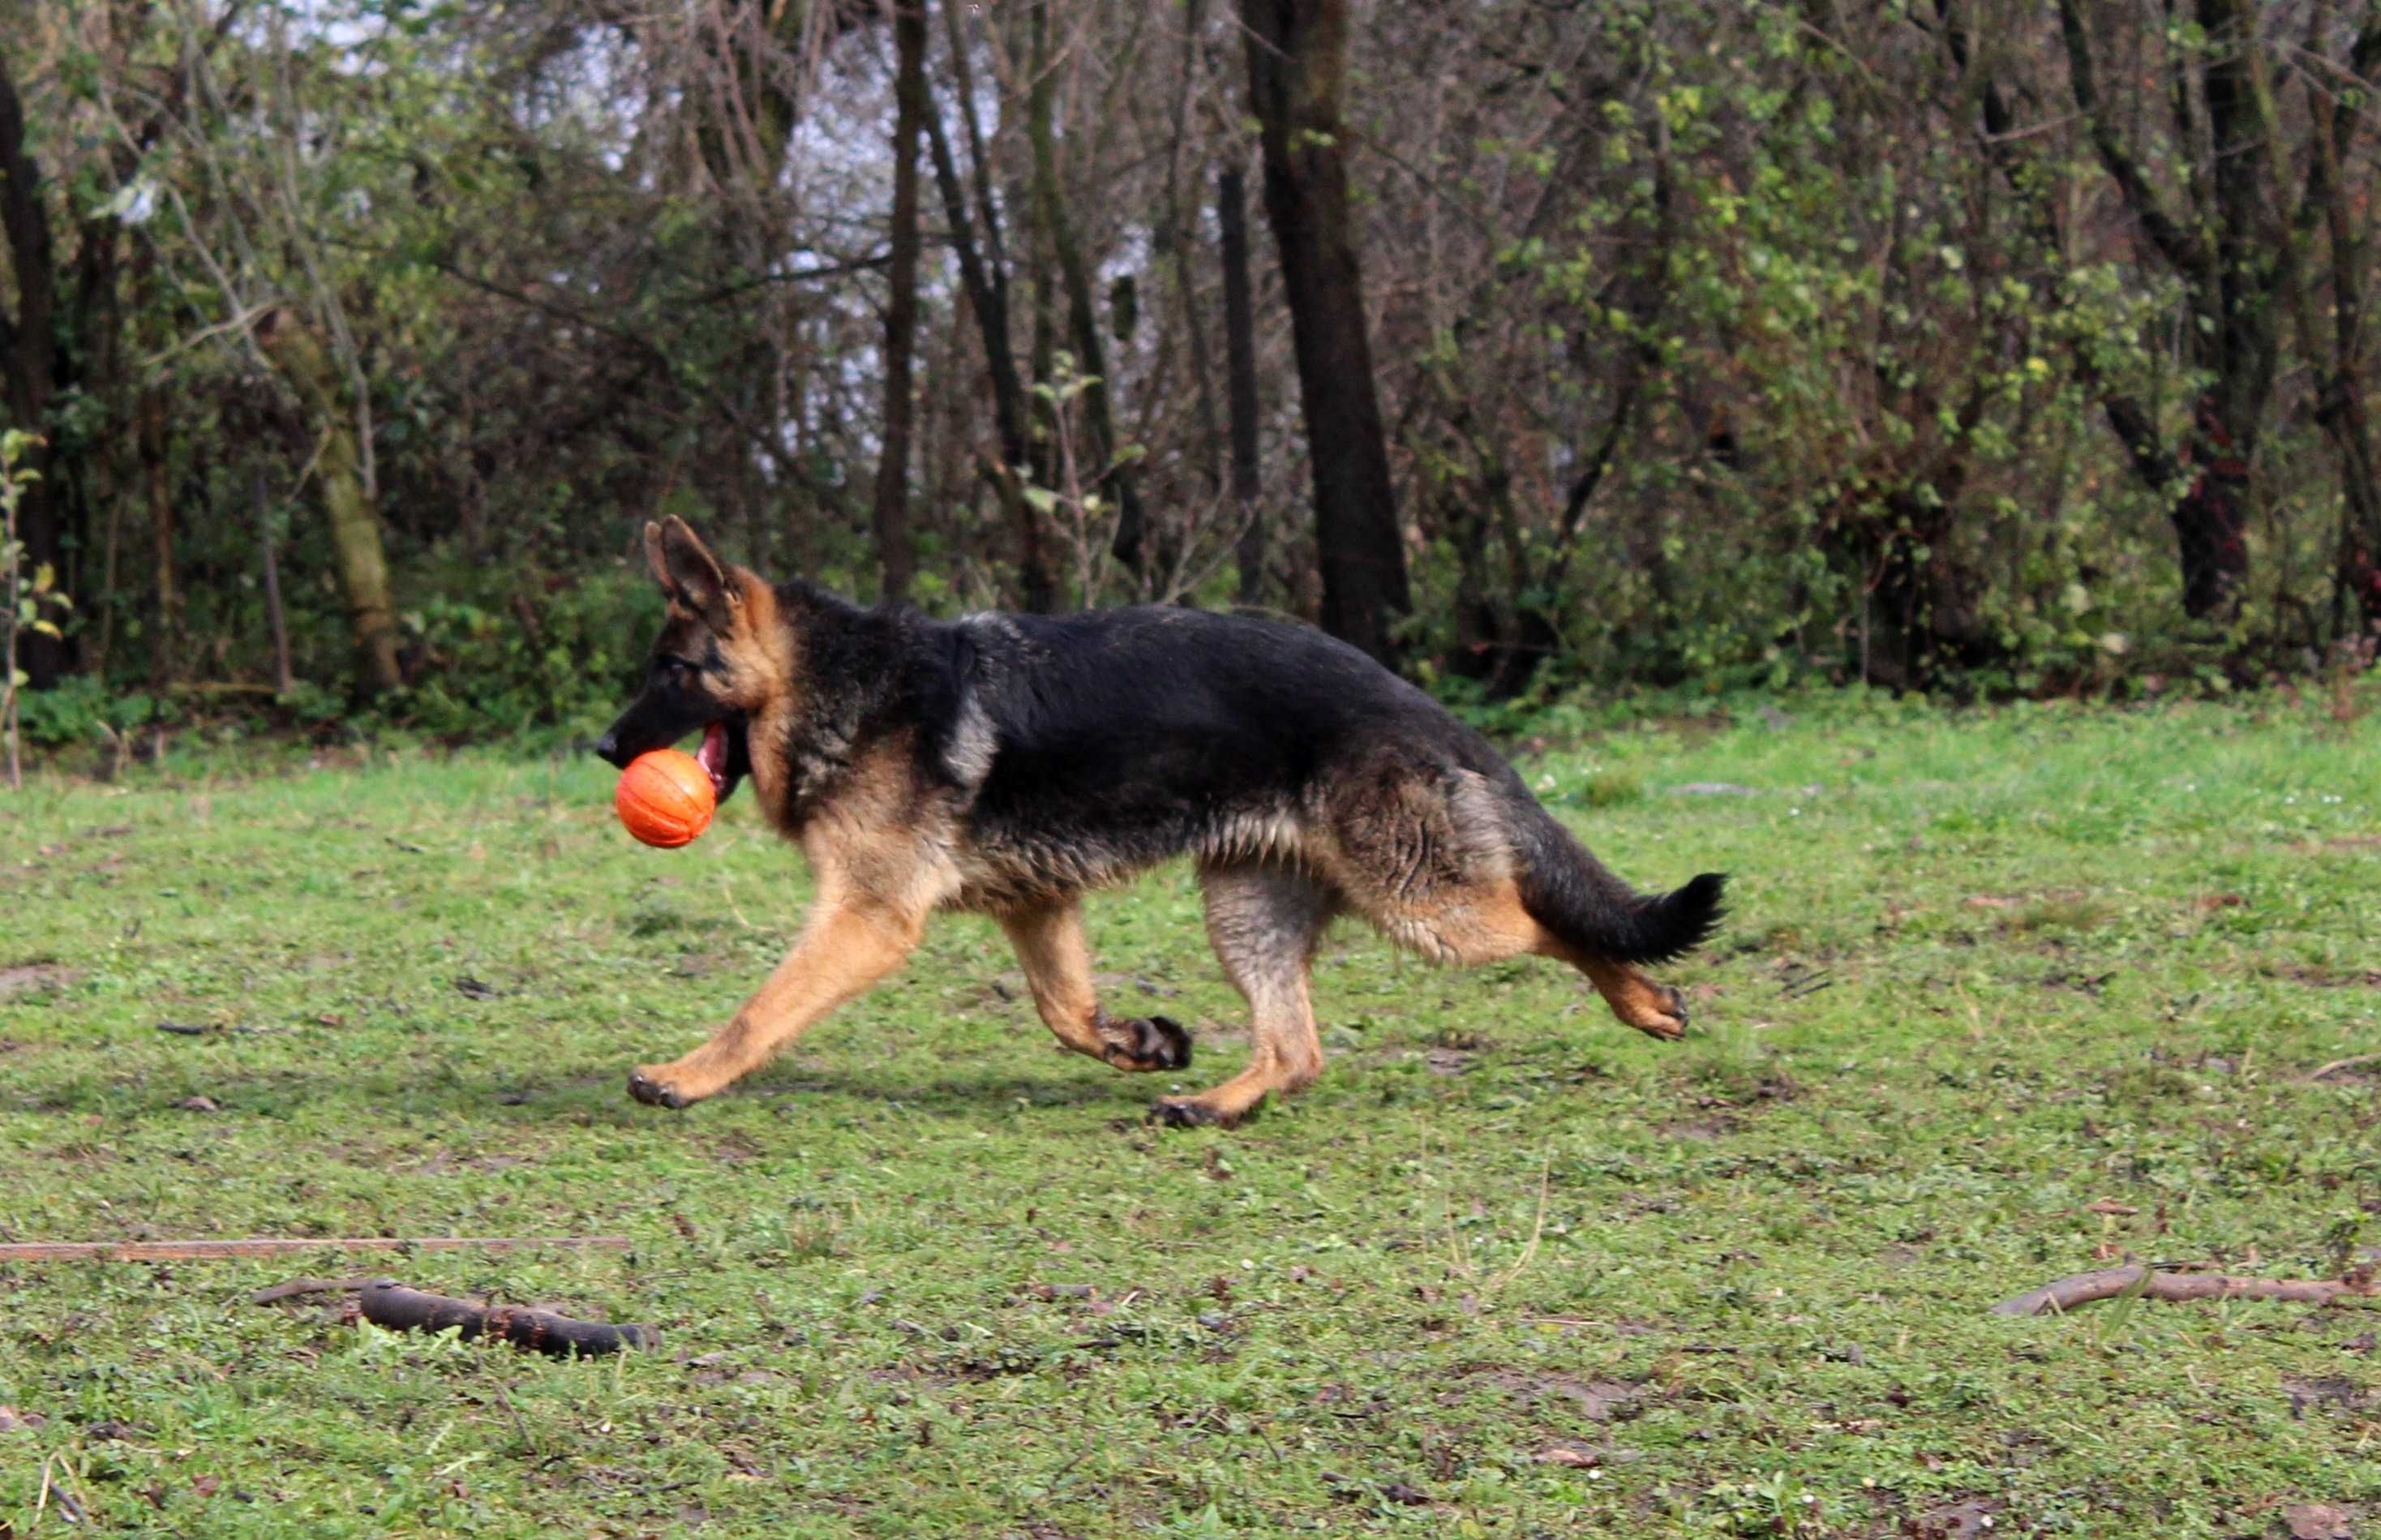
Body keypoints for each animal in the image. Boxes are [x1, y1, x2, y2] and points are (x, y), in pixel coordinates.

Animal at [588, 523, 1723, 1128]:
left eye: (669, 671)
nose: (604, 747)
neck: (843, 683)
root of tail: (1417, 705)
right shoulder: (1036, 904)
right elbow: (1062, 1013)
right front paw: (1138, 1043)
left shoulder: (869, 919)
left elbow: (759, 1010)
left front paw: (685, 1077)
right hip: (1248, 916)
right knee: (1297, 1050)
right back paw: (1216, 1102)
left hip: (1427, 909)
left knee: (1547, 923)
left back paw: (1641, 1000)